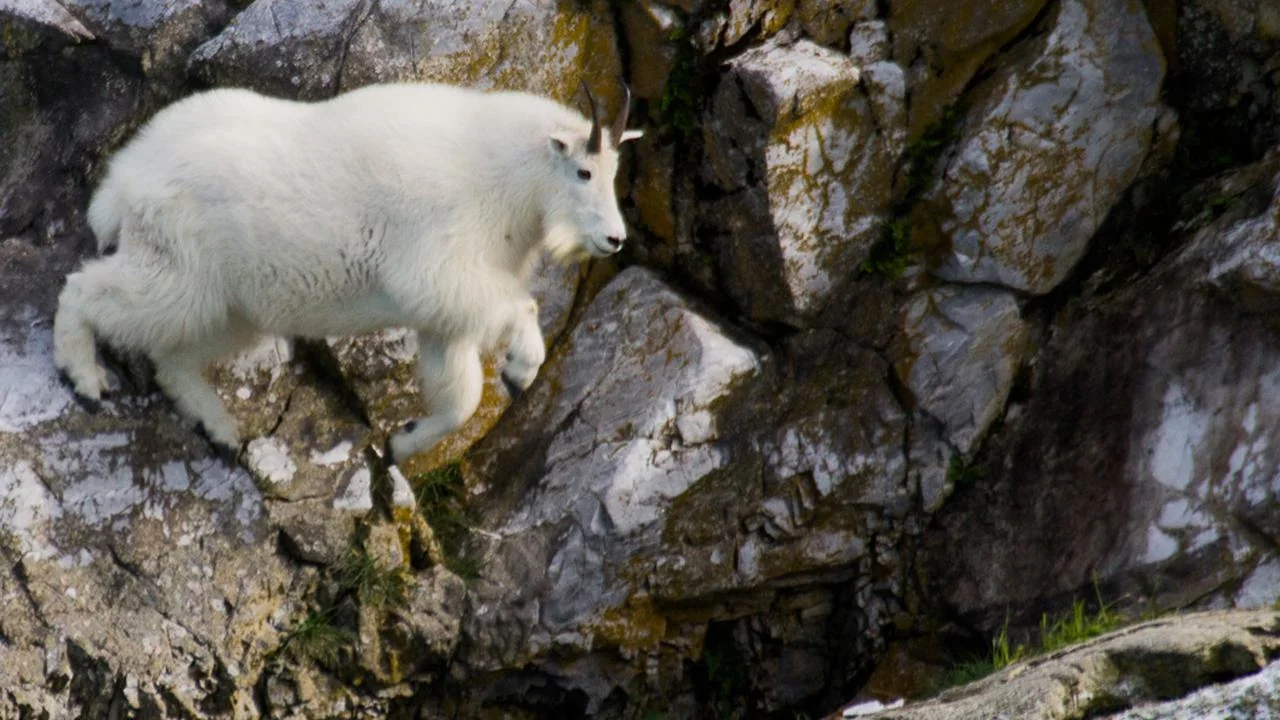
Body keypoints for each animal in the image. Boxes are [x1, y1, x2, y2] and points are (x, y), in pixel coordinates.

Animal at [53, 80, 643, 463]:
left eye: (614, 170)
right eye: (583, 171)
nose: (615, 238)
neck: (505, 180)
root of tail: (125, 177)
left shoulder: (442, 316)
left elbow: (461, 398)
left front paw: (402, 441)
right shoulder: (437, 269)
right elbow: (517, 306)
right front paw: (522, 368)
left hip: (230, 304)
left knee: (176, 355)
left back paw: (218, 429)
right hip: (177, 267)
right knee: (85, 289)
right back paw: (85, 377)